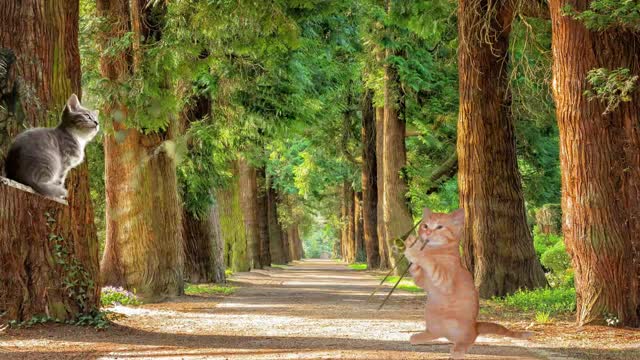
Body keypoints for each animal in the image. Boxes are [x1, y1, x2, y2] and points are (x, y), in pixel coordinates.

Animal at [402, 208, 532, 360]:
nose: (427, 232)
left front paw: (414, 250)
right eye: (425, 225)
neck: (436, 250)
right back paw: (420, 337)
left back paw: (459, 349)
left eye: (439, 227)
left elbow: (429, 261)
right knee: (436, 333)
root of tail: (475, 326)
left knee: (469, 339)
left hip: (460, 327)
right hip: (431, 316)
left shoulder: (445, 280)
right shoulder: (423, 281)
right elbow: (417, 272)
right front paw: (411, 246)